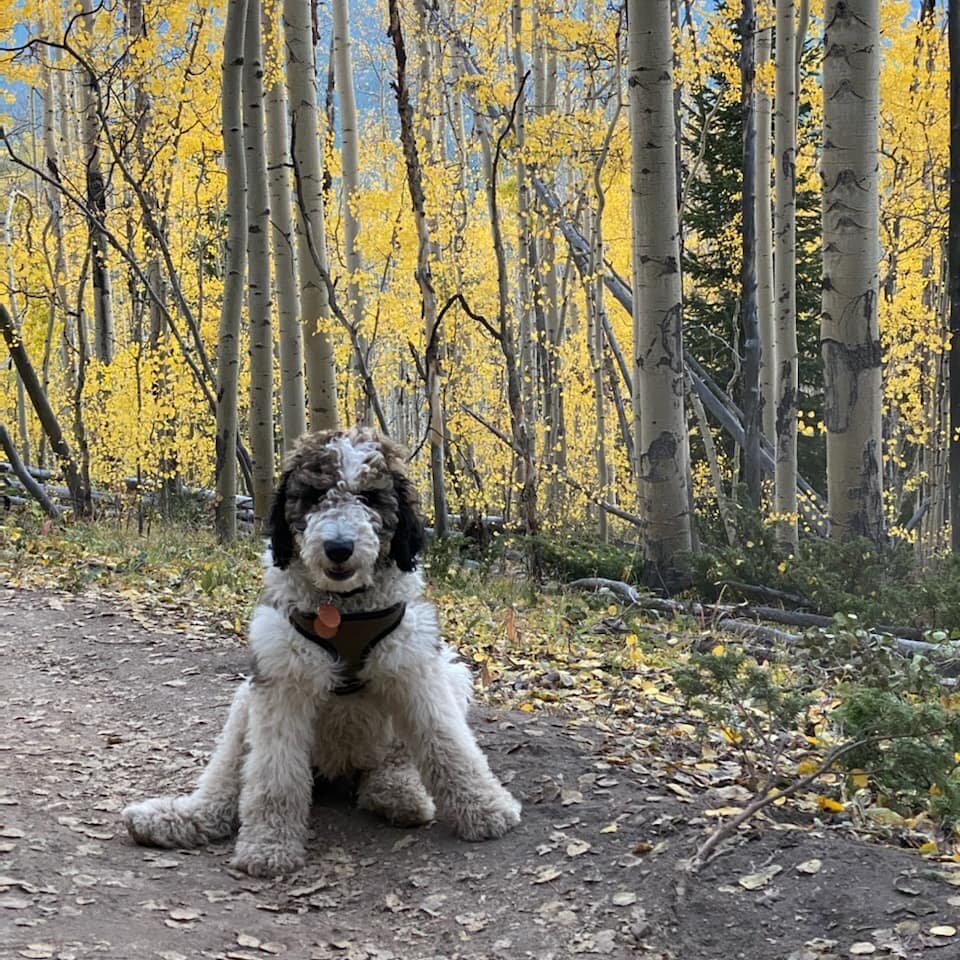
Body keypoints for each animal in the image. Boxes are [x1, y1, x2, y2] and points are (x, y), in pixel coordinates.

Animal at [125, 428, 524, 876]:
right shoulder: (281, 680)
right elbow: (273, 776)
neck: (343, 606)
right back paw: (181, 817)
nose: (338, 547)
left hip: (449, 676)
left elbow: (448, 744)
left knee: (395, 759)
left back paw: (397, 793)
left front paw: (486, 809)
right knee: (227, 777)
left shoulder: (415, 668)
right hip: (246, 700)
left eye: (369, 497)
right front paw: (268, 845)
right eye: (315, 495)